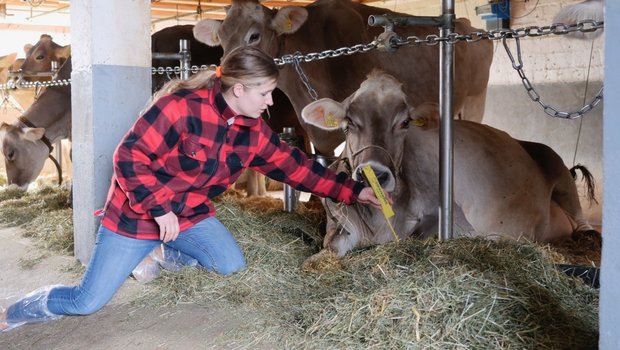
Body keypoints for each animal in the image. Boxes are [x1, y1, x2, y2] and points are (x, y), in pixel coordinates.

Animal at [302, 70, 600, 258]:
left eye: (405, 122)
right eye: (348, 123)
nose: (373, 174)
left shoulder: (455, 219)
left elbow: (422, 235)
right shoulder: (340, 224)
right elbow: (330, 246)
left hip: (557, 166)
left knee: (582, 222)